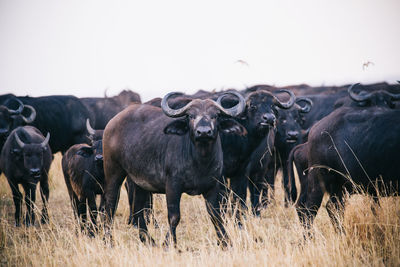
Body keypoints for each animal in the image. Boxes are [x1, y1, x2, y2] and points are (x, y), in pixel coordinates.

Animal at [102, 91, 247, 247]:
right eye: (191, 116)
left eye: (215, 115)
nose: (203, 132)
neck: (200, 161)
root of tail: (112, 123)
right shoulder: (172, 186)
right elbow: (174, 216)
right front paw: (169, 243)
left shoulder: (213, 186)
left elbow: (215, 215)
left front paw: (225, 242)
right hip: (113, 171)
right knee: (110, 205)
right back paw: (108, 240)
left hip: (139, 182)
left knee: (138, 210)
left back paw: (148, 240)